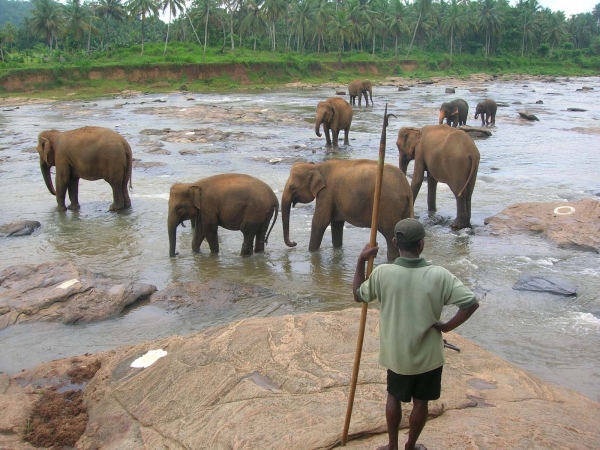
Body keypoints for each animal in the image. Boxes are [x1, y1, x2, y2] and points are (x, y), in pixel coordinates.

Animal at [284, 159, 414, 260]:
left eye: (292, 187)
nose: (294, 243)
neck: (316, 167)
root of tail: (406, 188)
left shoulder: (326, 193)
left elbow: (320, 222)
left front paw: (311, 252)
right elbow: (336, 224)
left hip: (389, 206)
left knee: (390, 235)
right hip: (407, 207)